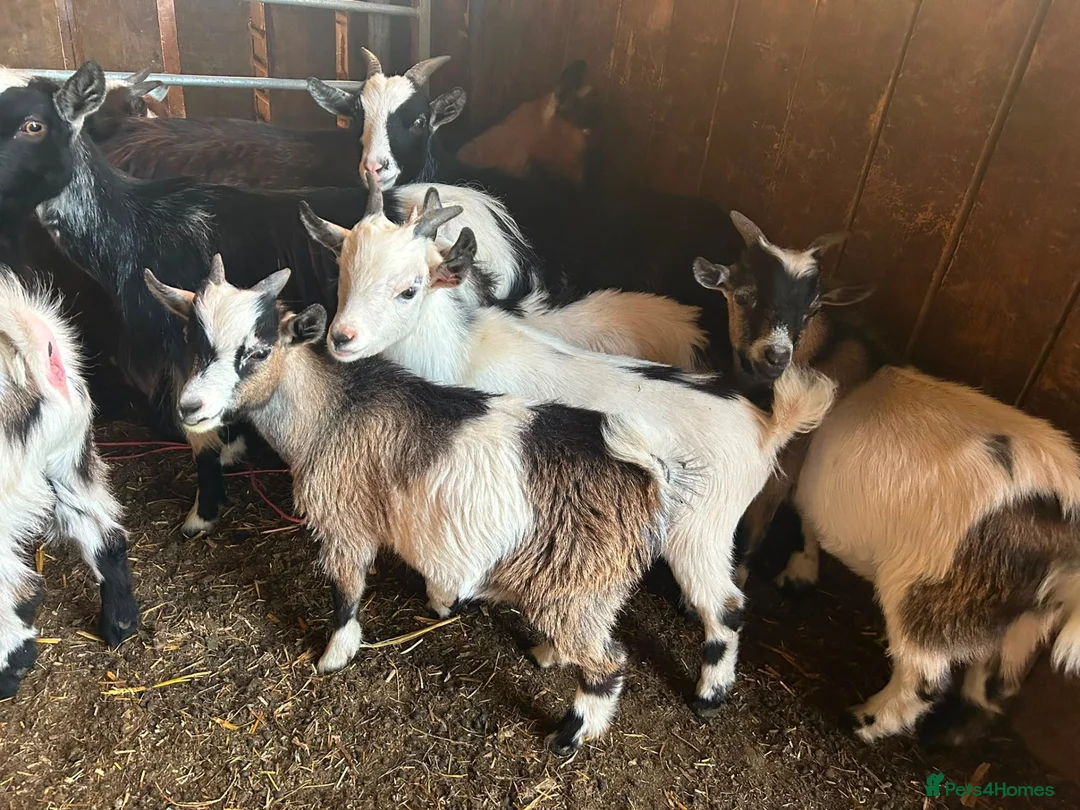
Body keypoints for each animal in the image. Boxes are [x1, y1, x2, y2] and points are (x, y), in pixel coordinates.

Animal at [144, 260, 831, 755]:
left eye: (256, 351)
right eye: (193, 340)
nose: (190, 409)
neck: (331, 410)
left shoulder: (346, 520)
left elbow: (345, 593)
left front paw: (333, 655)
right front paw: (441, 601)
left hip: (673, 545)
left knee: (637, 652)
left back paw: (585, 731)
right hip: (592, 581)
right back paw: (549, 653)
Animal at [794, 366, 1080, 742]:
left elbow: (800, 524)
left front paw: (796, 578)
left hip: (928, 591)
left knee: (926, 680)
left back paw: (859, 721)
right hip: (1027, 624)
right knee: (995, 687)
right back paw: (948, 736)